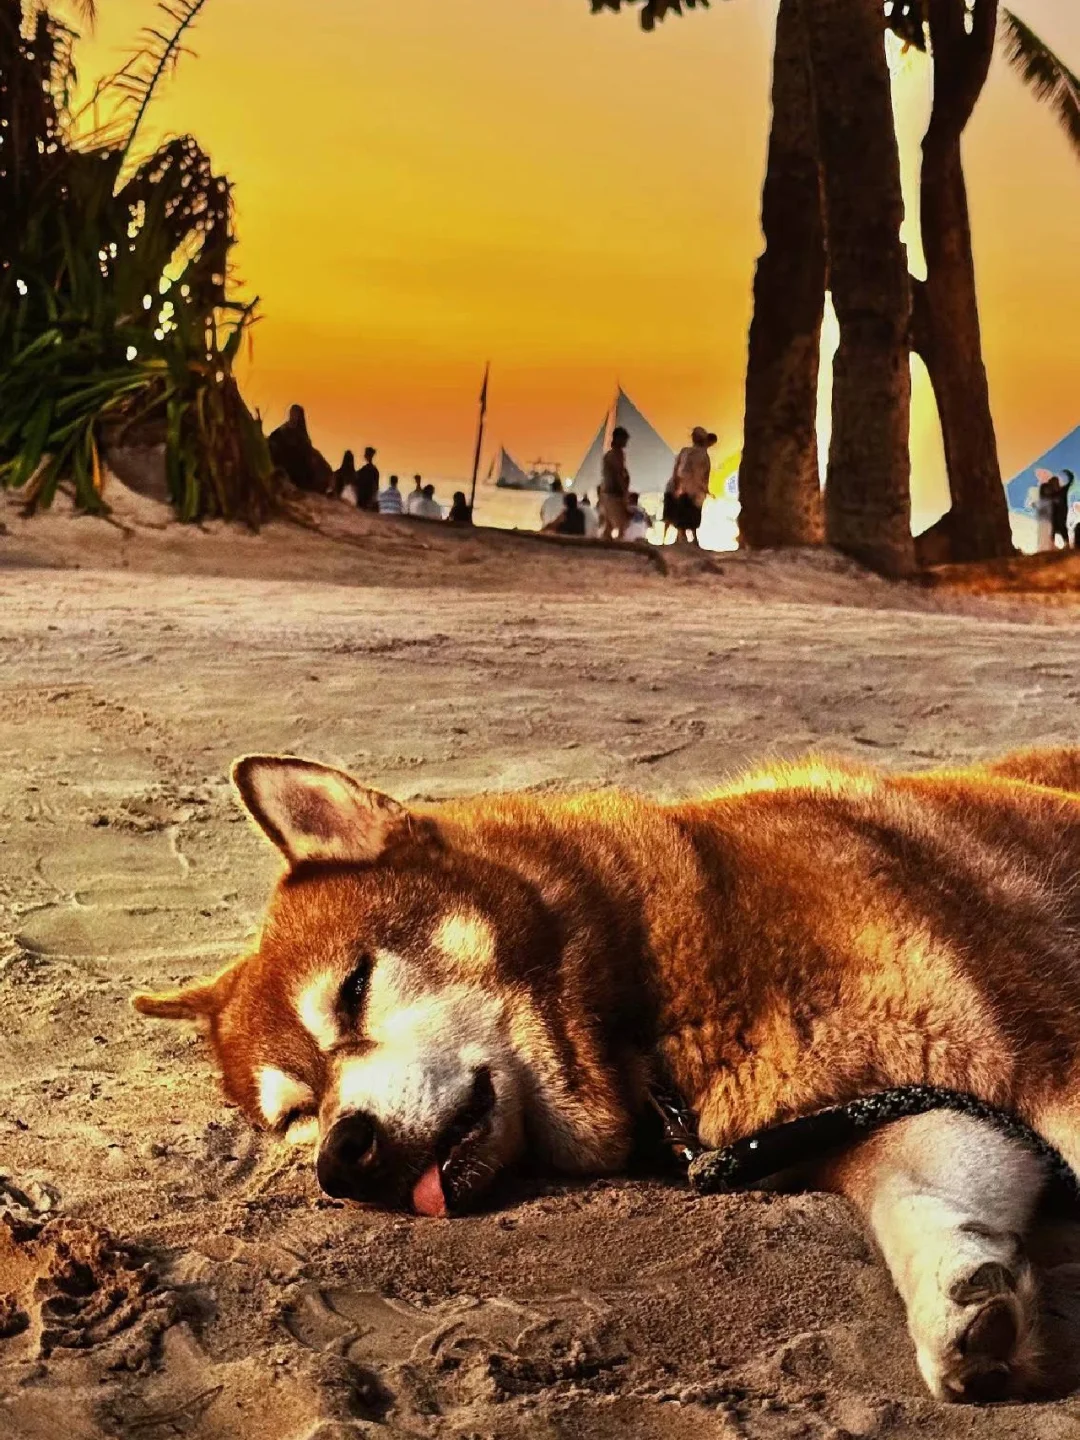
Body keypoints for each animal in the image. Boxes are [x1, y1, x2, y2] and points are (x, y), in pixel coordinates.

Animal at [133, 748, 1080, 1399]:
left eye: (354, 989)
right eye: (296, 1115)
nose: (341, 1157)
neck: (646, 1000)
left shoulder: (1041, 1053)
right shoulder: (891, 1114)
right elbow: (915, 1198)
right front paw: (962, 1296)